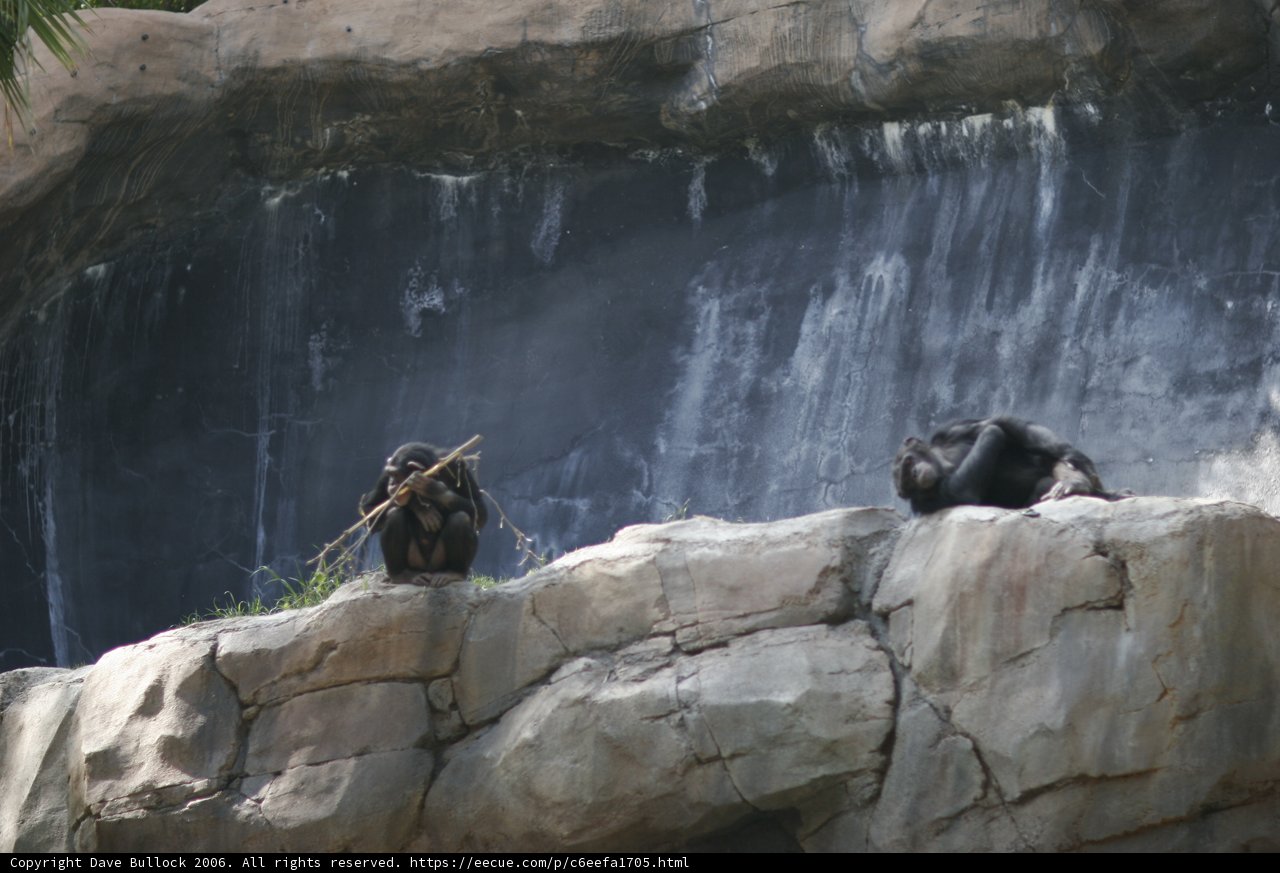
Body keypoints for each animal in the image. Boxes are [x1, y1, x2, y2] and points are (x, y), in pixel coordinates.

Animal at [360, 442, 487, 583]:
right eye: (390, 474)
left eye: (396, 475)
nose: (391, 483)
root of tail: (427, 571)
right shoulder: (384, 476)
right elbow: (369, 512)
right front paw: (418, 506)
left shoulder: (457, 464)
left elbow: (479, 510)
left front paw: (433, 489)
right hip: (415, 561)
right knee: (394, 514)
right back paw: (400, 574)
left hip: (438, 562)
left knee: (461, 518)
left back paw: (454, 573)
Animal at [892, 416, 1119, 515]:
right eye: (903, 481)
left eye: (907, 462)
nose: (910, 474)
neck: (942, 462)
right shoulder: (925, 502)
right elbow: (961, 492)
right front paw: (992, 432)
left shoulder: (952, 429)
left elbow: (1003, 425)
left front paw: (1076, 460)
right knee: (1044, 483)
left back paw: (1075, 483)